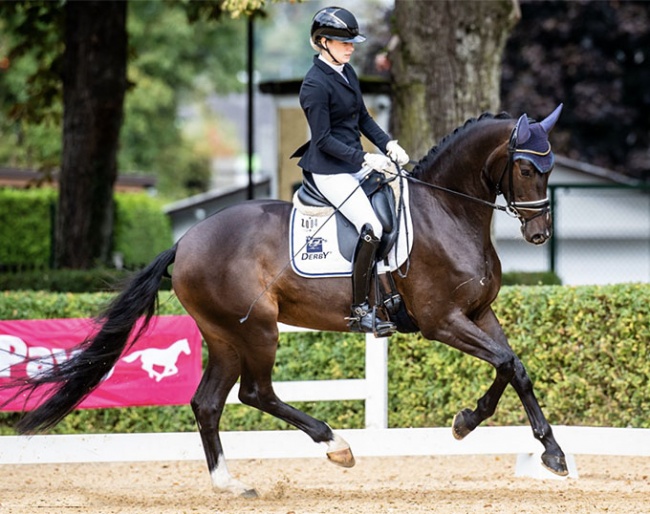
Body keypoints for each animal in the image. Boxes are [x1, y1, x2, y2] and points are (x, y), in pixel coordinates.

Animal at [5, 103, 564, 492]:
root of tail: (185, 242)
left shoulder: (478, 313)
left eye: (551, 167)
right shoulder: (442, 320)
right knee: (255, 394)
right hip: (258, 329)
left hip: (224, 336)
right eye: (527, 168)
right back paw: (336, 445)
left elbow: (513, 366)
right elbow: (508, 363)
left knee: (208, 402)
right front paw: (510, 438)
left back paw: (229, 484)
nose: (539, 234)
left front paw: (497, 432)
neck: (447, 212)